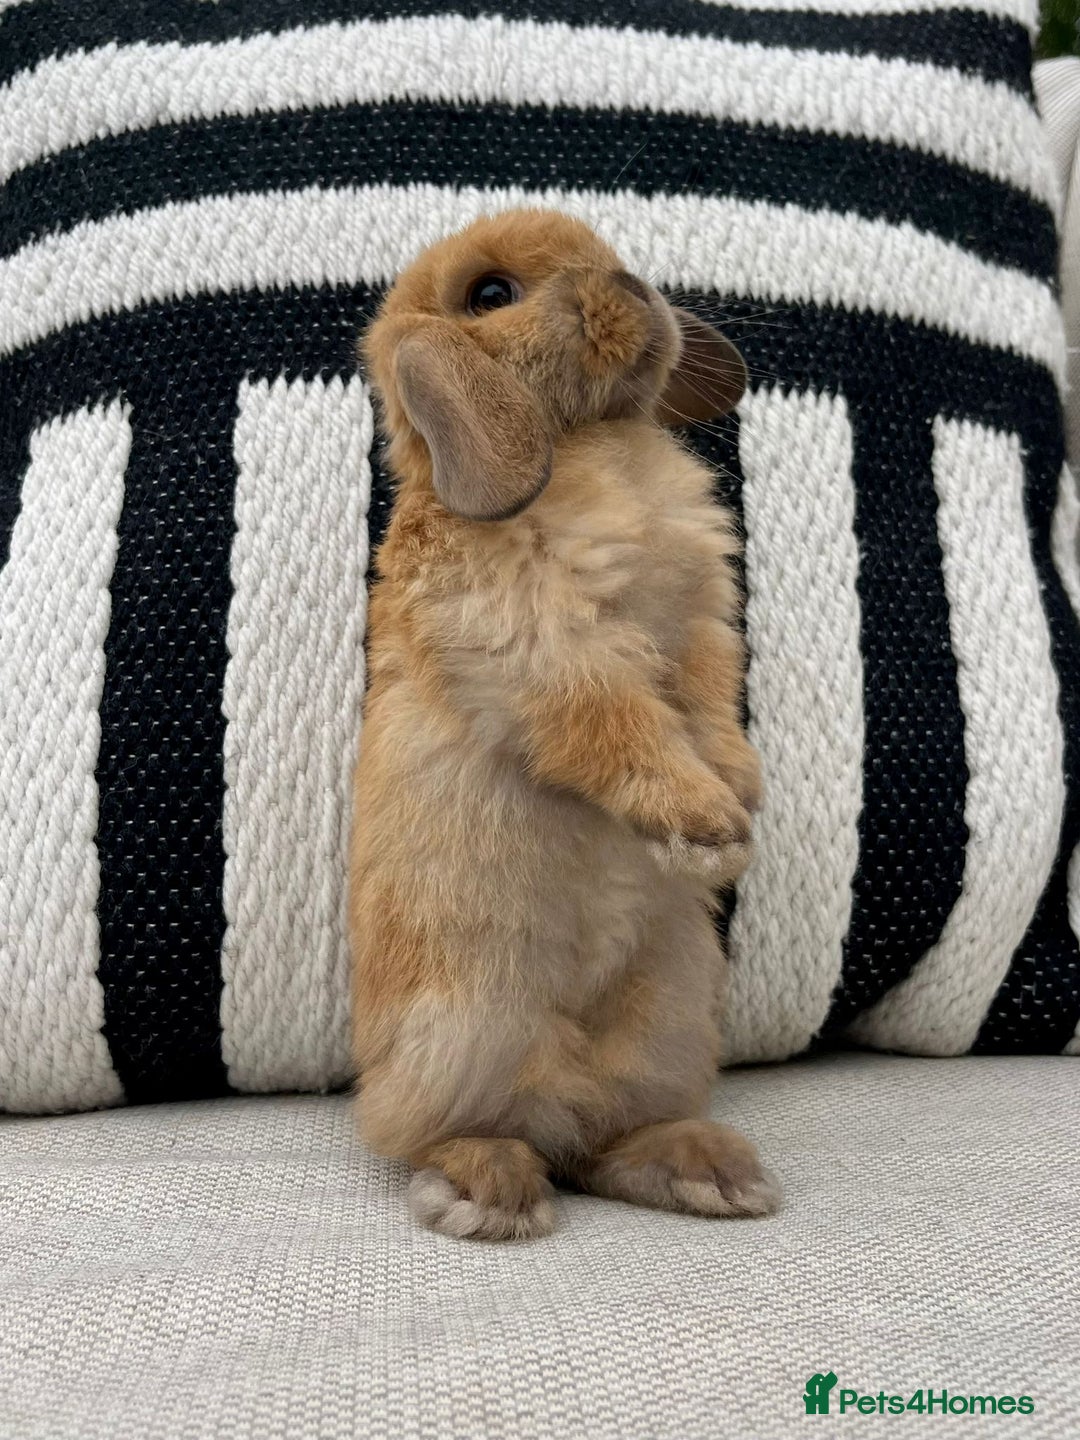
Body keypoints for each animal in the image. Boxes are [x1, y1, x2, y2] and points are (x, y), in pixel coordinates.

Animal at [349, 208, 780, 1240]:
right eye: (491, 294)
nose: (630, 287)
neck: (586, 440)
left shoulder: (701, 627)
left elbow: (708, 704)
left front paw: (741, 797)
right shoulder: (544, 651)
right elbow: (620, 729)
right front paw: (707, 829)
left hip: (669, 1025)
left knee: (604, 1144)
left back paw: (708, 1173)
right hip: (469, 1026)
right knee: (436, 1132)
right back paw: (487, 1191)